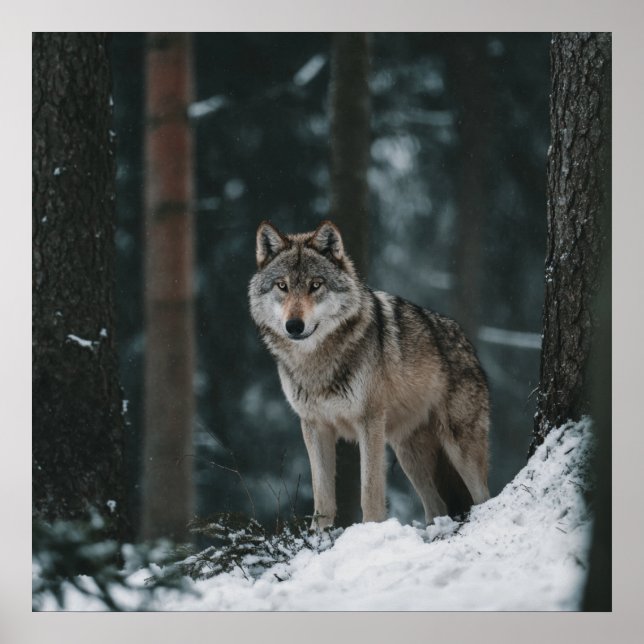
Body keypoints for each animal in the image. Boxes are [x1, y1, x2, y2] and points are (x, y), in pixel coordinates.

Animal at [248, 220, 490, 529]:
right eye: (282, 286)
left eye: (316, 285)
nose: (294, 325)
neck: (317, 363)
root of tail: (467, 343)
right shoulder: (314, 425)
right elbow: (322, 498)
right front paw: (319, 536)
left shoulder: (369, 422)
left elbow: (370, 492)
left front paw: (370, 530)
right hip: (409, 453)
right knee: (436, 506)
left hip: (460, 447)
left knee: (483, 496)